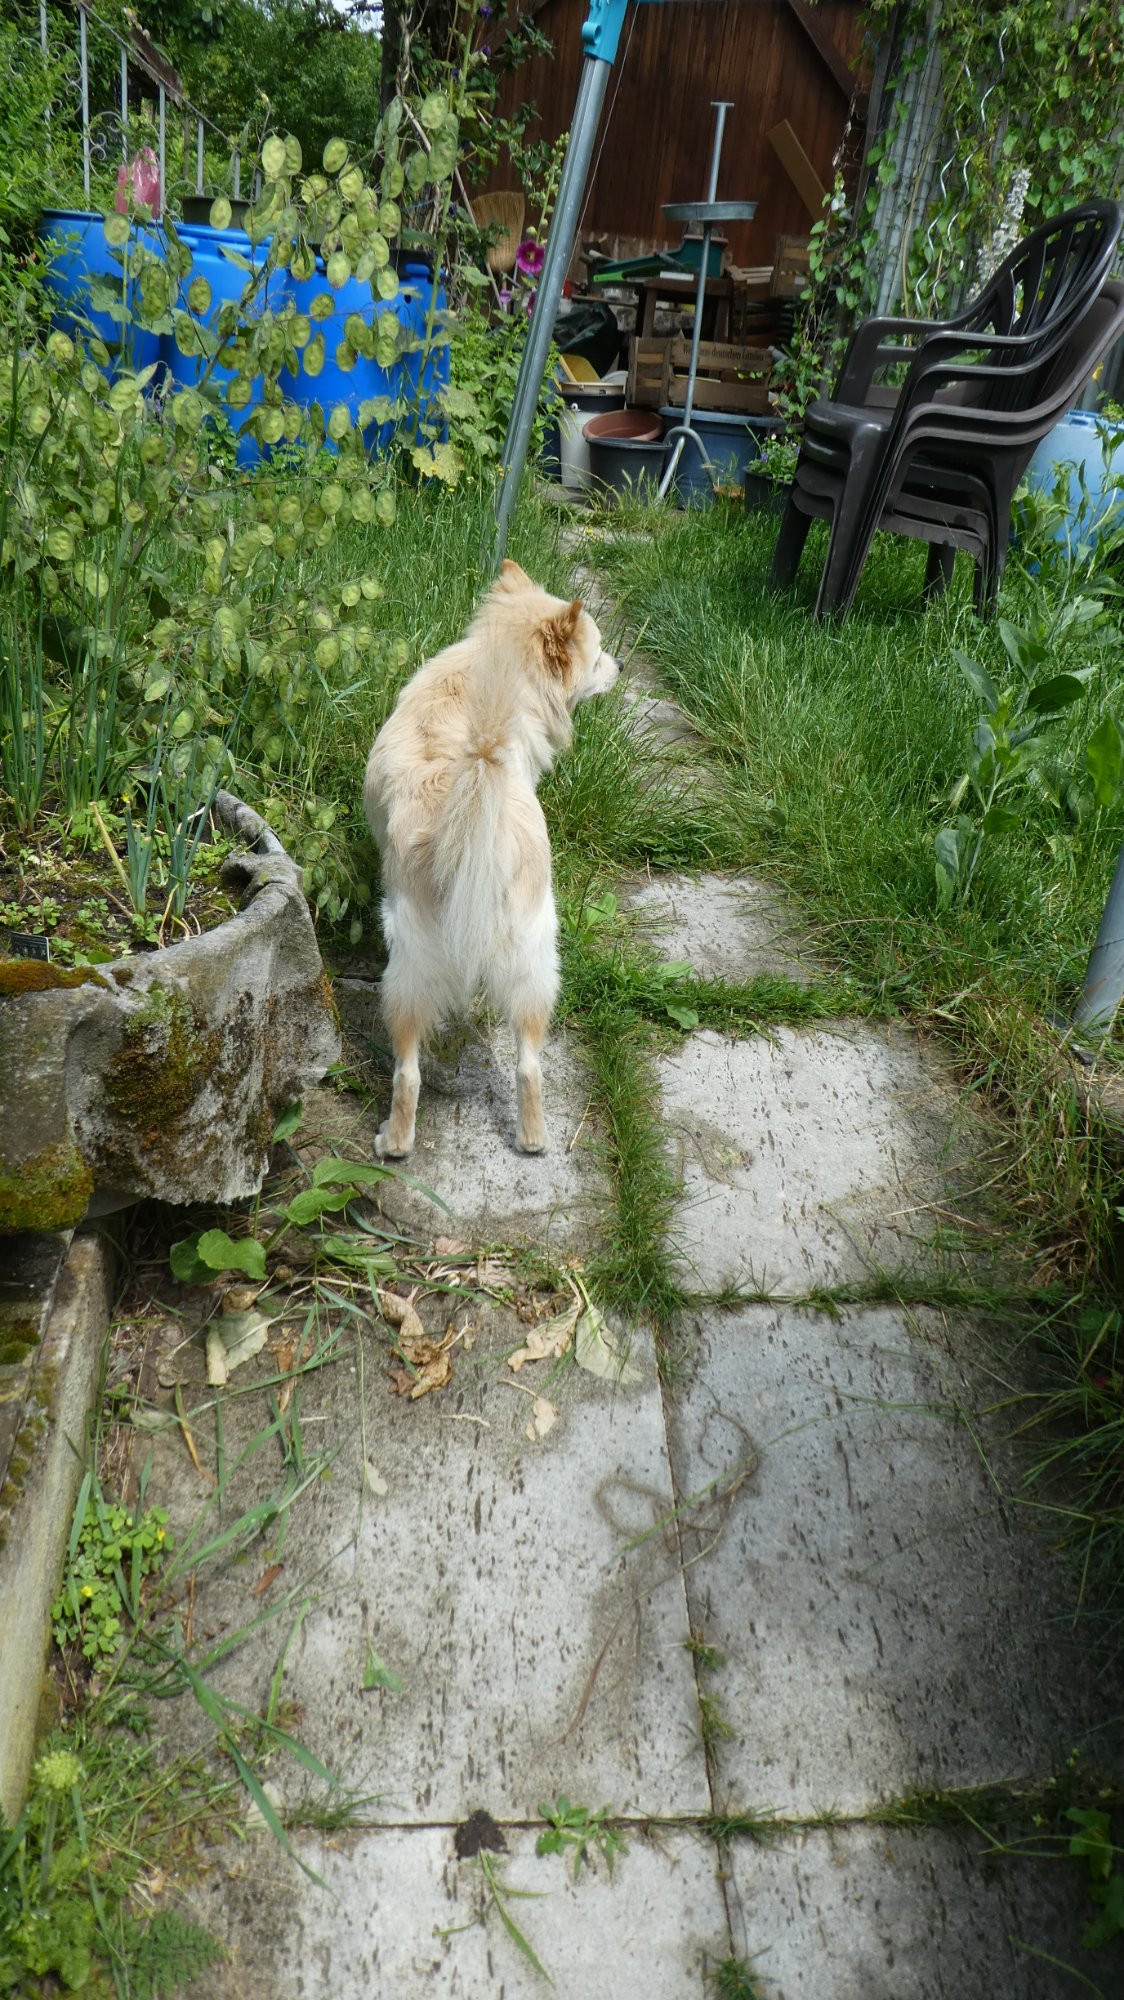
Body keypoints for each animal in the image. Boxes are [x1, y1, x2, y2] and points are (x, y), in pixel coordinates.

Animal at [363, 559, 619, 1159]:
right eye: (599, 655)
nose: (619, 668)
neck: (499, 661)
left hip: (406, 972)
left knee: (408, 1072)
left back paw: (394, 1142)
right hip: (535, 963)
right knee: (529, 1065)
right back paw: (532, 1139)